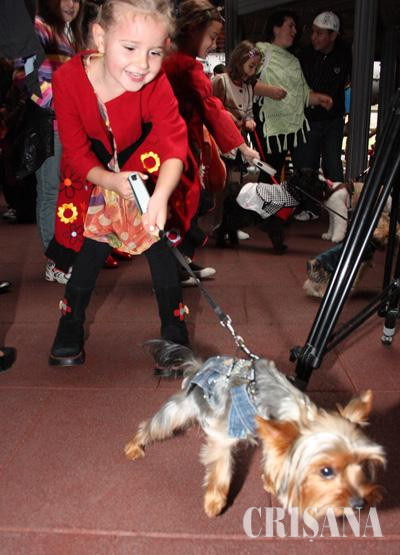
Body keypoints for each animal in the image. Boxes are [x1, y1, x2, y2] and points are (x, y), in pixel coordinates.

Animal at [124, 340, 385, 518]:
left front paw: (271, 481)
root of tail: (199, 365)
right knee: (156, 422)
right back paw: (134, 446)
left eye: (362, 464)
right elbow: (220, 470)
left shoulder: (272, 431)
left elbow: (273, 457)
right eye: (326, 471)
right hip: (182, 408)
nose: (360, 504)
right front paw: (214, 503)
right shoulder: (222, 436)